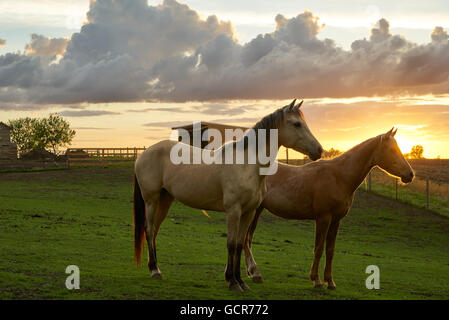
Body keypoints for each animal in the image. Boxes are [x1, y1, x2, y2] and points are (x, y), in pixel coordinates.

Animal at [132, 99, 322, 292]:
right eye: (297, 124)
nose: (319, 150)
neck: (247, 165)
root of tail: (143, 153)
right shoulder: (233, 211)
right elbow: (231, 244)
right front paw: (232, 281)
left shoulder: (249, 212)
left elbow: (239, 244)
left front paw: (241, 281)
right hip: (151, 200)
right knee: (149, 230)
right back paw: (155, 270)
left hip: (165, 200)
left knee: (154, 231)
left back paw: (155, 267)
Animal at [243, 128, 414, 290]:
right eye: (392, 150)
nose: (410, 174)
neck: (339, 176)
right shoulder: (323, 218)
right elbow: (318, 249)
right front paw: (317, 281)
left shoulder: (336, 221)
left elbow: (330, 250)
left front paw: (330, 282)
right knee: (245, 239)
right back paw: (255, 274)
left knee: (246, 239)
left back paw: (251, 273)